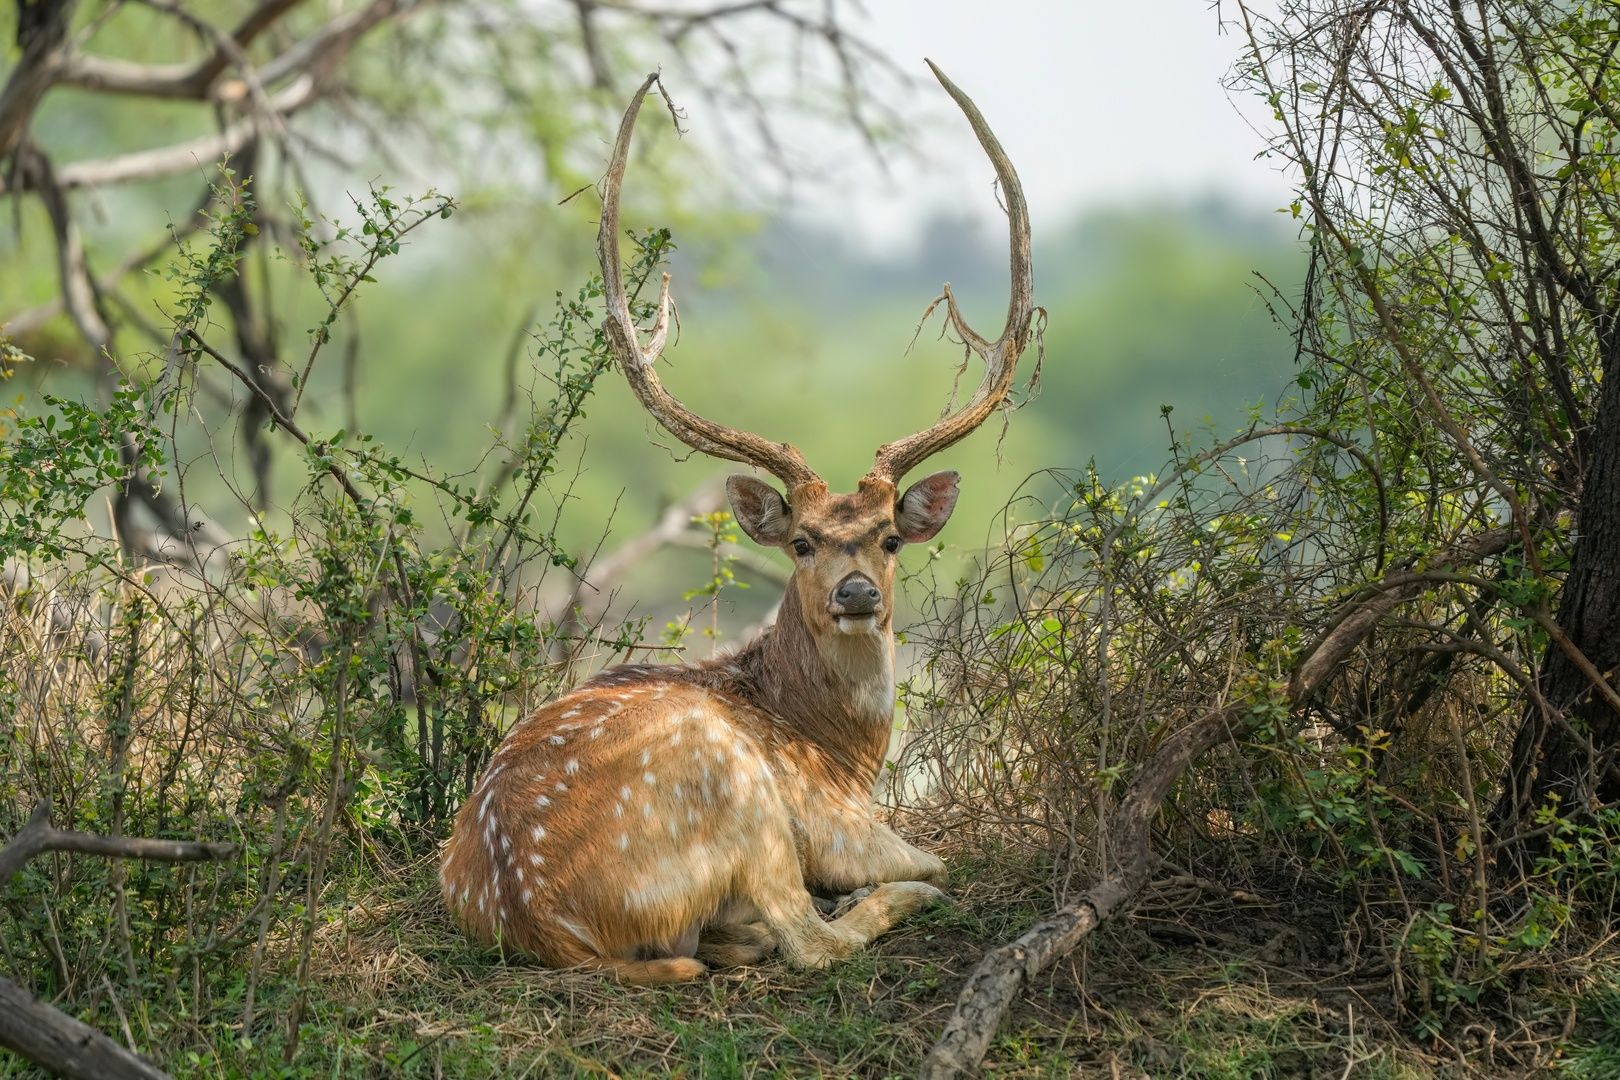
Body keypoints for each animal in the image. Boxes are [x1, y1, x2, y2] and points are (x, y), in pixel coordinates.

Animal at [440, 61, 1034, 984]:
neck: (838, 750)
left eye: (890, 537)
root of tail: (542, 919)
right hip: (738, 791)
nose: (857, 593)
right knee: (811, 938)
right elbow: (936, 857)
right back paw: (855, 910)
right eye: (802, 543)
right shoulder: (835, 822)